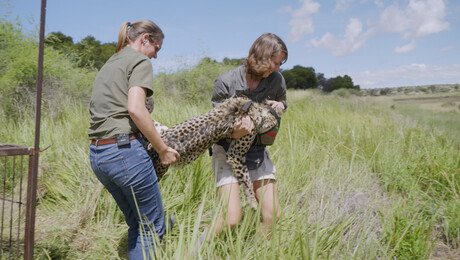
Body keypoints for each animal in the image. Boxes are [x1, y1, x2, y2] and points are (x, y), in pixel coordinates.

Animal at [146, 96, 282, 210]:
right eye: (273, 124)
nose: (275, 124)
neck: (251, 108)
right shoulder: (235, 155)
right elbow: (246, 179)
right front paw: (252, 201)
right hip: (159, 171)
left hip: (160, 129)